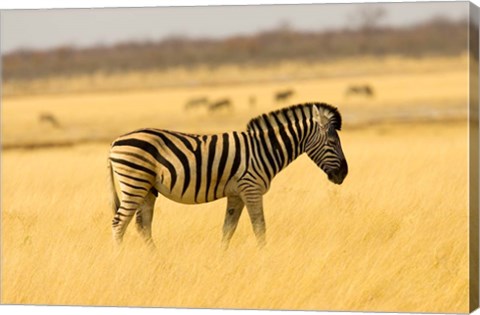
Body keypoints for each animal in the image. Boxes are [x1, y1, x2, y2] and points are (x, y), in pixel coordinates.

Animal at [108, 102, 348, 251]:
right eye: (333, 142)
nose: (344, 174)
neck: (265, 149)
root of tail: (115, 141)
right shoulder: (251, 189)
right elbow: (259, 227)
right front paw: (265, 257)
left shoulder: (236, 194)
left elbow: (228, 229)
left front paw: (221, 259)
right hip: (135, 183)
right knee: (119, 223)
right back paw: (119, 259)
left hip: (148, 188)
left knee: (142, 225)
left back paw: (156, 259)